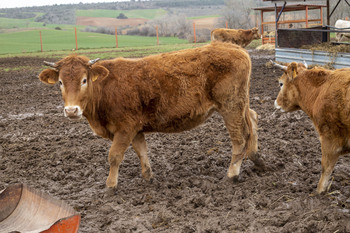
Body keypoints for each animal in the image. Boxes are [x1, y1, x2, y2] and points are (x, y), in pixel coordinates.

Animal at [39, 41, 262, 190]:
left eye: (84, 80)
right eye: (60, 82)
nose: (71, 110)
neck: (105, 89)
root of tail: (233, 47)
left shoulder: (125, 128)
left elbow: (114, 156)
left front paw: (110, 186)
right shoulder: (136, 129)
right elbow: (142, 152)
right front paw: (149, 178)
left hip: (231, 106)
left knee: (239, 139)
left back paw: (232, 174)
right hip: (241, 104)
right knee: (252, 118)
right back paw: (257, 158)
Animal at [274, 61, 350, 194]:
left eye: (281, 83)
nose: (275, 103)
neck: (320, 91)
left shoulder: (330, 138)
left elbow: (326, 167)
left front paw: (319, 192)